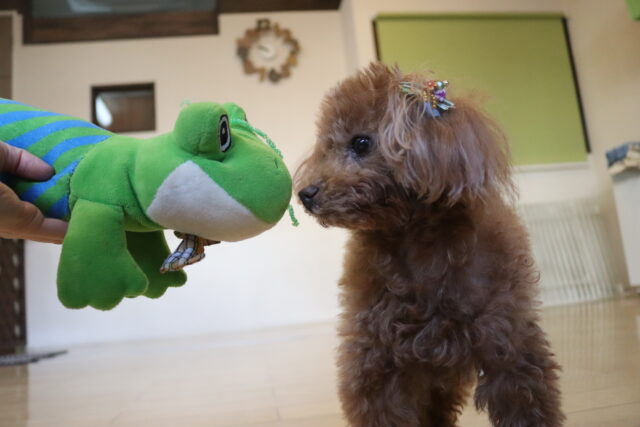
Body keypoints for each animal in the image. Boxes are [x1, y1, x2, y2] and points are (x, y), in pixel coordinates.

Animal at [295, 63, 563, 427]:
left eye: (361, 142)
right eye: (325, 146)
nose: (305, 194)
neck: (416, 238)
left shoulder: (506, 343)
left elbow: (524, 403)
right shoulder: (376, 358)